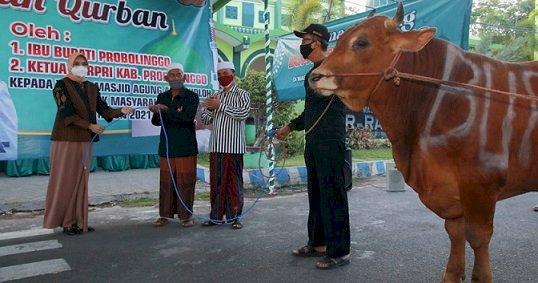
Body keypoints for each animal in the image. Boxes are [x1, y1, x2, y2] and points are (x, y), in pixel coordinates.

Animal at [306, 2, 536, 283]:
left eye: (361, 42)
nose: (315, 77)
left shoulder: (481, 183)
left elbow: (478, 237)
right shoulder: (449, 189)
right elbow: (455, 231)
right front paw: (452, 274)